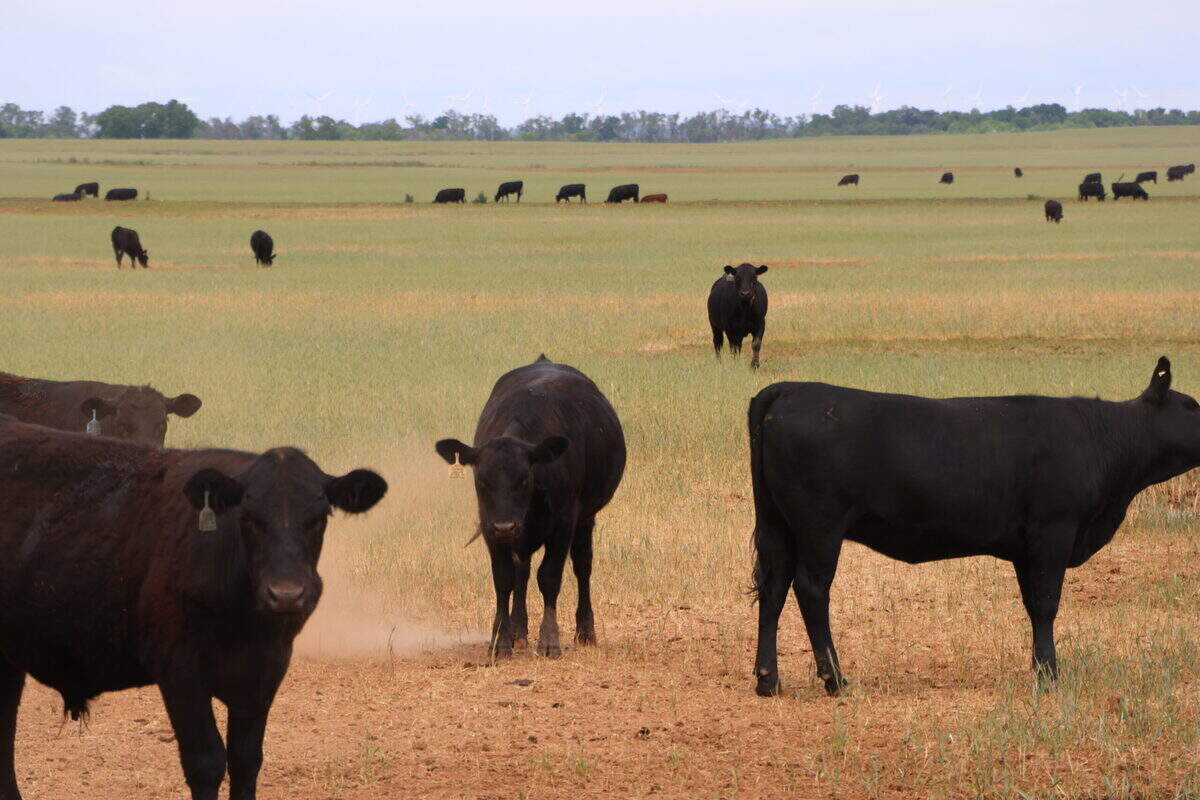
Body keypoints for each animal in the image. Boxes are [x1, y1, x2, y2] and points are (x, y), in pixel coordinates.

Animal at [0, 418, 386, 800]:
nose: (287, 594)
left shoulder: (265, 671)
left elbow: (246, 759)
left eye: (319, 517)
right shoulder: (180, 670)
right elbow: (207, 762)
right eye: (248, 517)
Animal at [435, 356, 625, 658]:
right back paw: (517, 630)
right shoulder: (489, 526)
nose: (505, 526)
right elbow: (504, 579)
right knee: (521, 571)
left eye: (524, 478)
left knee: (582, 566)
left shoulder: (563, 523)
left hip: (585, 519)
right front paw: (501, 640)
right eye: (481, 480)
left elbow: (549, 577)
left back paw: (585, 631)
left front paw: (549, 640)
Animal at [747, 357, 1200, 698]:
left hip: (778, 525)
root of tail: (790, 389)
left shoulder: (1026, 546)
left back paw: (769, 680)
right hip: (819, 527)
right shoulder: (1053, 530)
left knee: (773, 588)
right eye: (1192, 406)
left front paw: (1040, 668)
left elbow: (1033, 605)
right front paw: (1050, 675)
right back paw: (835, 680)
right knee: (811, 590)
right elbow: (1048, 603)